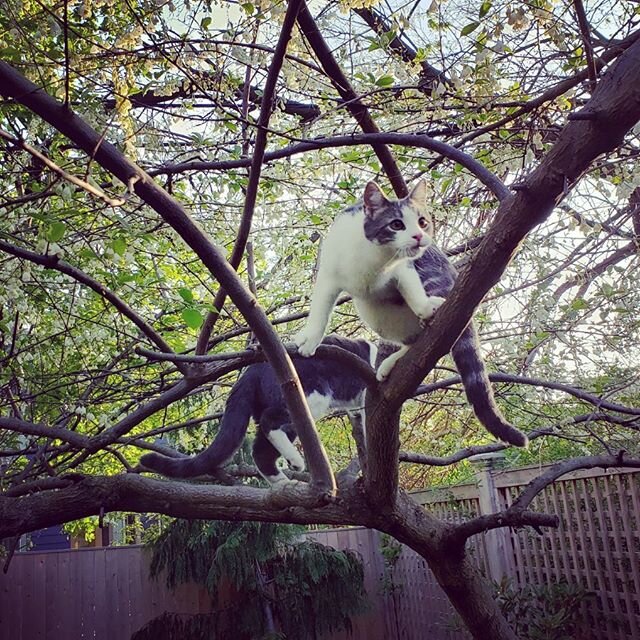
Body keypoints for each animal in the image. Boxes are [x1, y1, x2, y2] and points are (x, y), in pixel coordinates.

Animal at [292, 178, 528, 448]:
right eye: (396, 224)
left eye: (423, 222)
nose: (418, 236)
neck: (376, 260)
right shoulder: (329, 275)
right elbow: (320, 312)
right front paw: (310, 339)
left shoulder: (404, 269)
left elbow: (411, 288)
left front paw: (425, 307)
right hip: (373, 312)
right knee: (413, 339)